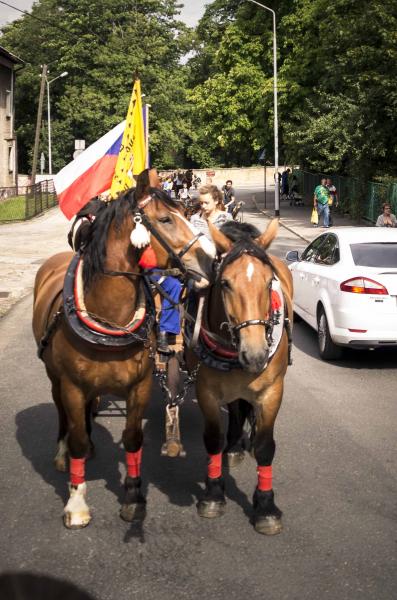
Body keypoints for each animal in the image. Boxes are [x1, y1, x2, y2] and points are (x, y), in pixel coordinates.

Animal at [32, 189, 215, 528]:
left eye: (187, 213)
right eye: (165, 219)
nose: (212, 262)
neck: (109, 318)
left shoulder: (138, 387)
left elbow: (132, 439)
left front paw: (132, 498)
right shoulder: (73, 386)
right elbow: (76, 436)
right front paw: (76, 502)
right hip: (54, 377)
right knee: (63, 413)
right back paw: (63, 453)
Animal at [187, 219, 292, 536]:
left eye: (269, 282)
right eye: (225, 283)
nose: (256, 354)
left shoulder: (272, 392)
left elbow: (266, 447)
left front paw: (266, 506)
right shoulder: (207, 390)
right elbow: (212, 438)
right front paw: (213, 492)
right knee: (236, 408)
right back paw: (233, 446)